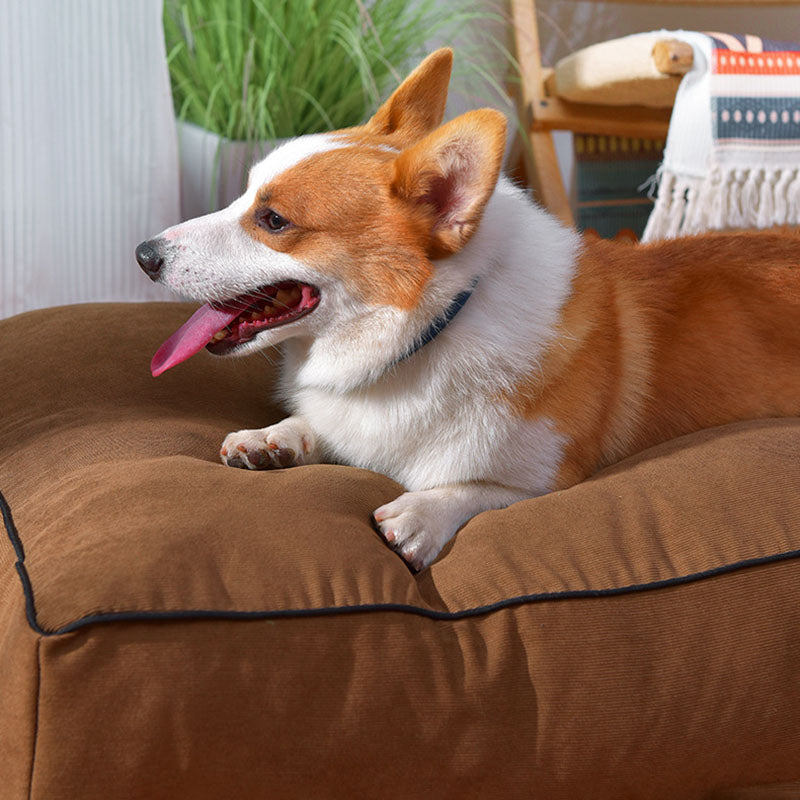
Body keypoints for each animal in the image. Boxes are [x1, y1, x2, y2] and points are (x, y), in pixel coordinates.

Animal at [138, 48, 800, 568]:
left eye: (273, 220)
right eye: (244, 195)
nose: (144, 255)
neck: (423, 331)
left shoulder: (551, 475)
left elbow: (474, 487)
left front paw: (420, 515)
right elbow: (315, 427)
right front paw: (272, 438)